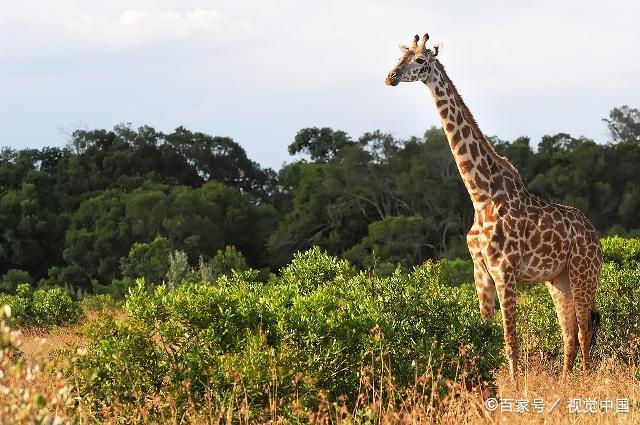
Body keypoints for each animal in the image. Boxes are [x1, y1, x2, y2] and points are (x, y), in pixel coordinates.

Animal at [384, 34, 604, 378]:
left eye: (420, 60)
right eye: (401, 56)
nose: (390, 77)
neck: (481, 195)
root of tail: (596, 236)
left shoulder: (505, 269)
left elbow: (510, 339)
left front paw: (512, 387)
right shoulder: (480, 270)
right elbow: (485, 332)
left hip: (584, 272)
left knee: (584, 329)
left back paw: (583, 381)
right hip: (558, 279)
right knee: (569, 331)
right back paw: (567, 381)